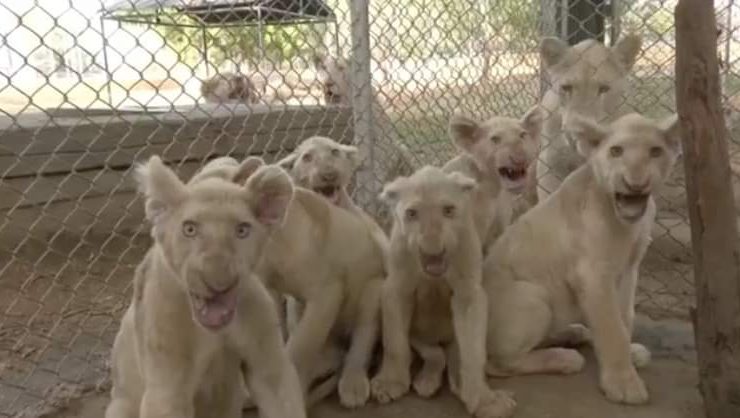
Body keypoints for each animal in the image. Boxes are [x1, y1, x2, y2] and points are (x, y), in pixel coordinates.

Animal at [105, 156, 305, 418]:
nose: (219, 282)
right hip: (121, 404)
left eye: (242, 230)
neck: (214, 333)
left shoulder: (270, 367)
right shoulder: (167, 388)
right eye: (189, 229)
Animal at [370, 166, 516, 418]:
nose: (433, 250)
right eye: (412, 213)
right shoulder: (396, 289)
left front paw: (485, 400)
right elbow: (394, 342)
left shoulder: (469, 294)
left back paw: (458, 383)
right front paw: (389, 384)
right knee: (435, 355)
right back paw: (426, 382)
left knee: (454, 354)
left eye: (448, 210)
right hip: (419, 336)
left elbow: (474, 351)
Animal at [483, 112, 681, 405]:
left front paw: (631, 354)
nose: (635, 183)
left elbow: (625, 317)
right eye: (615, 151)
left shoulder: (630, 269)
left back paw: (574, 333)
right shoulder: (593, 275)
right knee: (497, 363)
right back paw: (564, 358)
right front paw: (623, 384)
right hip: (532, 296)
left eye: (655, 152)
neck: (625, 223)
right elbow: (611, 327)